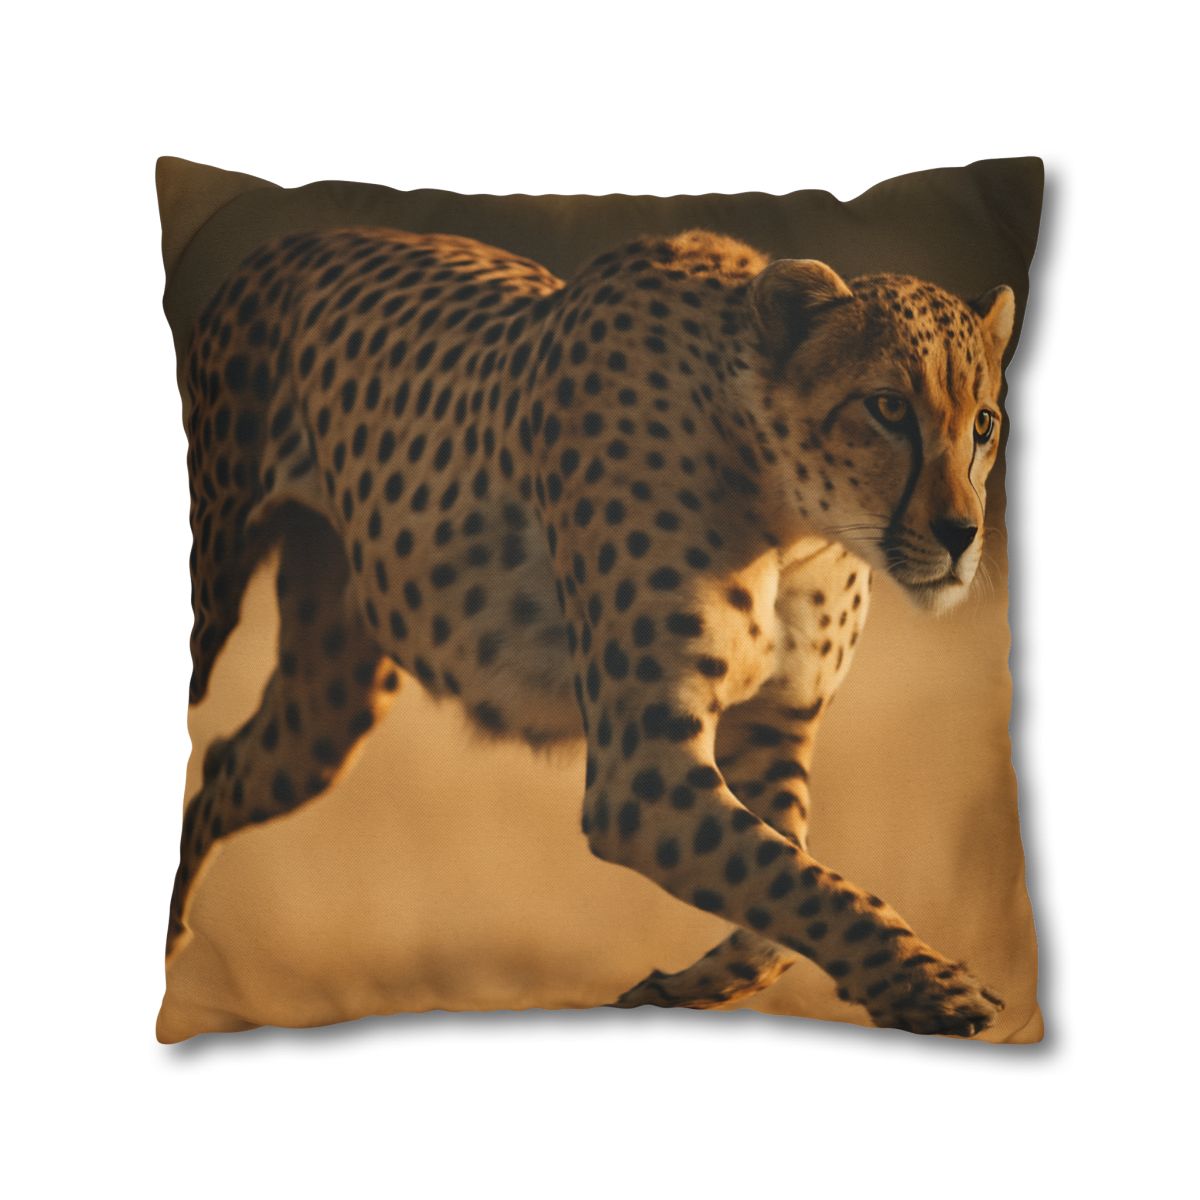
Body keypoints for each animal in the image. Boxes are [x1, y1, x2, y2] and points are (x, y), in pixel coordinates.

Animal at [170, 223, 1015, 1036]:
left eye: (983, 425)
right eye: (889, 408)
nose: (962, 534)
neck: (791, 518)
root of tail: (282, 243)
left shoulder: (774, 731)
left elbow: (785, 891)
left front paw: (676, 989)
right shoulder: (639, 774)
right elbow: (797, 880)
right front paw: (931, 986)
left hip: (327, 707)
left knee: (223, 762)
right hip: (213, 597)